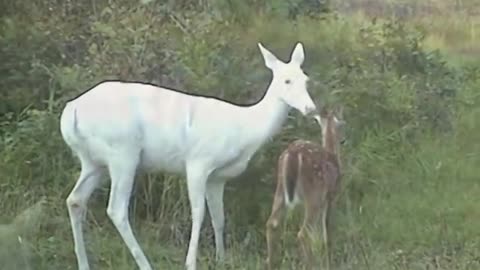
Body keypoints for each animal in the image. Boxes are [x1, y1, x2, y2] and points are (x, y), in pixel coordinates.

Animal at [60, 41, 320, 268]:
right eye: (287, 80)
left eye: (306, 80)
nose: (311, 109)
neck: (245, 129)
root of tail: (71, 112)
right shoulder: (198, 161)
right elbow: (198, 213)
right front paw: (190, 263)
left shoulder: (218, 177)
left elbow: (219, 218)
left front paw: (221, 259)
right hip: (122, 151)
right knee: (116, 208)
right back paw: (145, 264)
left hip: (93, 161)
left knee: (75, 199)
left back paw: (83, 263)